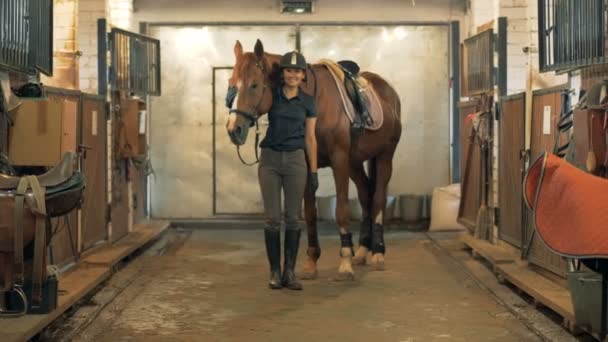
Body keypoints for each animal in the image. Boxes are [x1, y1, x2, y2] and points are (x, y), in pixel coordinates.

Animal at [226, 40, 402, 280]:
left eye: (254, 85)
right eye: (231, 83)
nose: (233, 130)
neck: (317, 103)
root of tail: (388, 91)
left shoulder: (339, 161)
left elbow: (342, 210)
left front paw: (344, 262)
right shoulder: (309, 164)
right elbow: (310, 213)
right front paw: (311, 262)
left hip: (384, 156)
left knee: (378, 199)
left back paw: (378, 254)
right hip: (355, 163)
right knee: (366, 196)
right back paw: (362, 251)